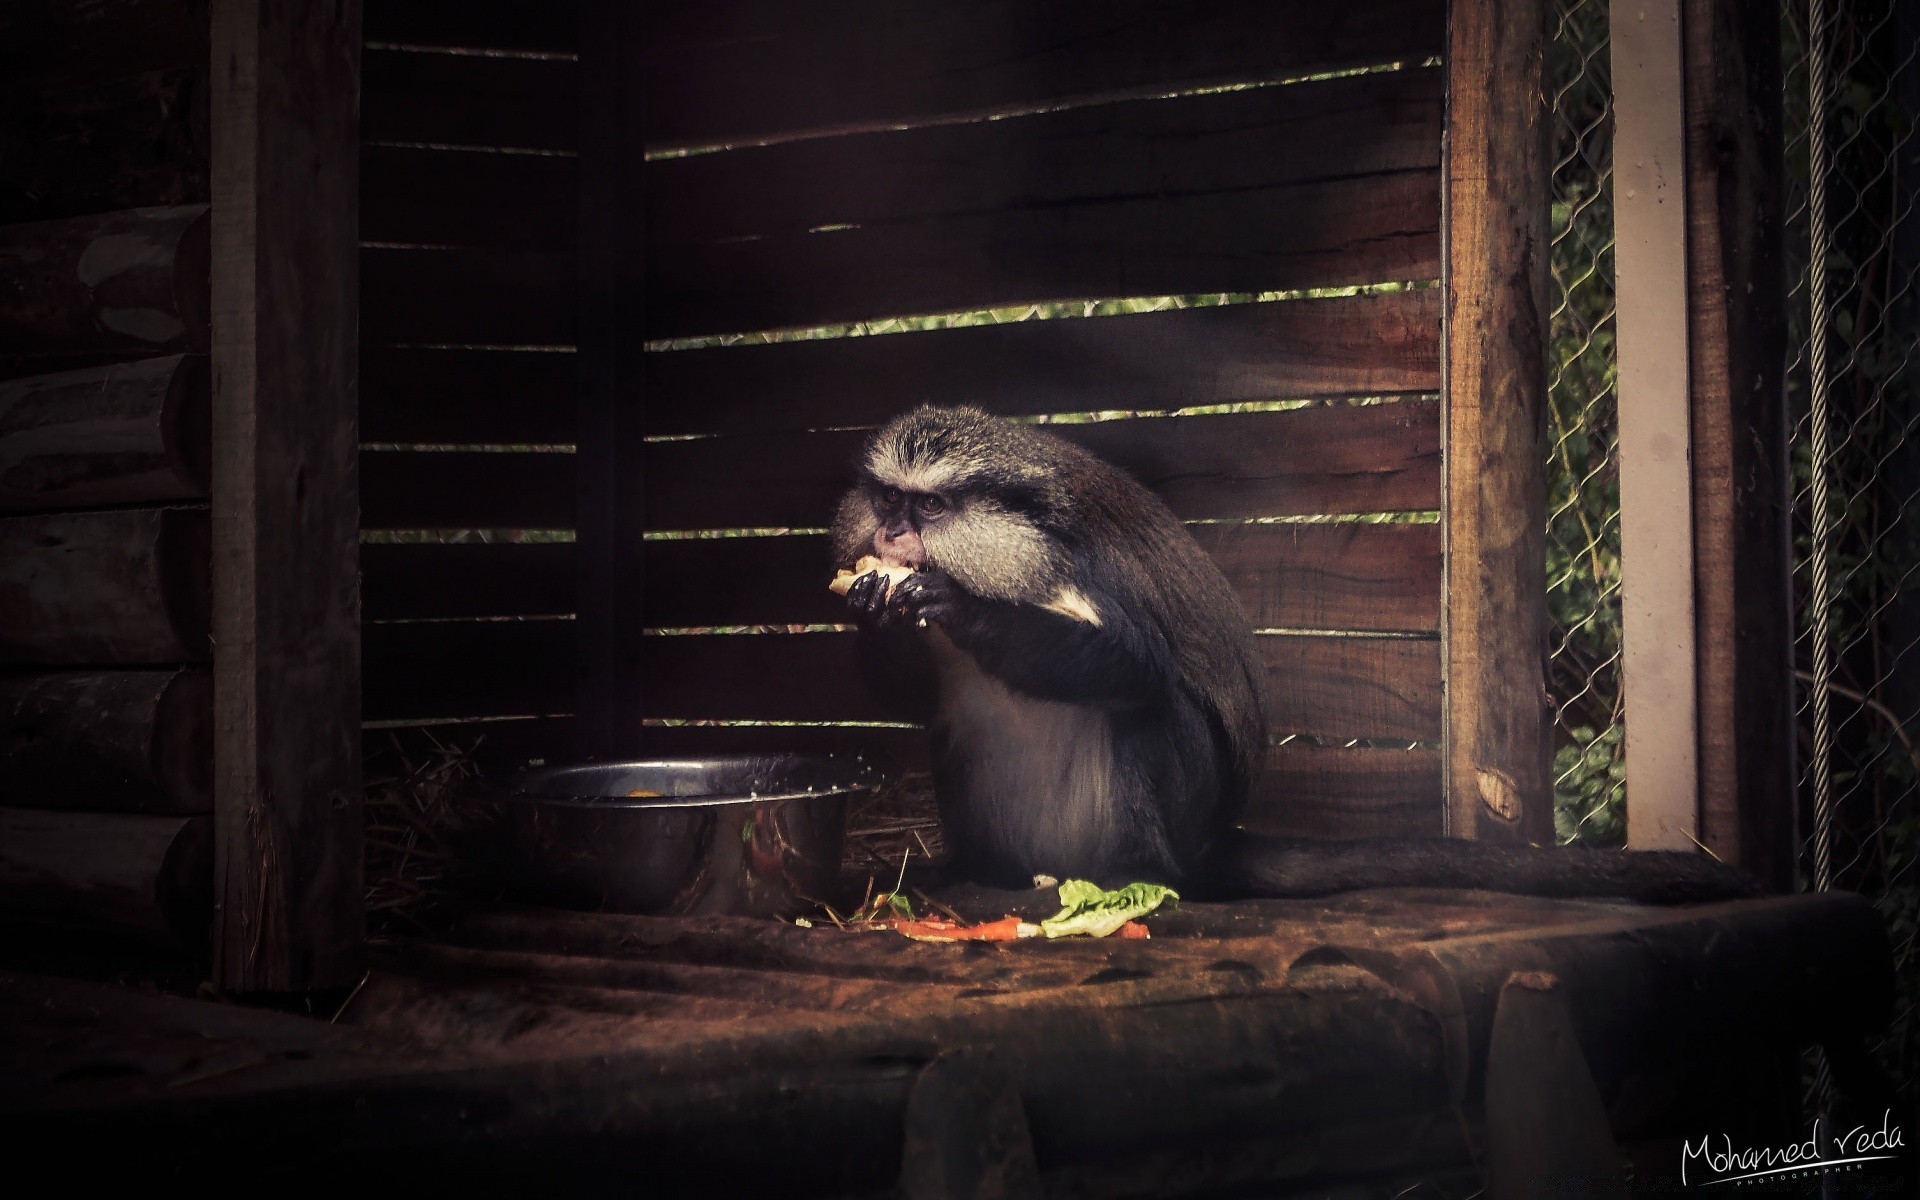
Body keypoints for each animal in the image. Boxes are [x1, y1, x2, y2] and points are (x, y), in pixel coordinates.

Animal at [825, 403, 1758, 898]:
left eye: (931, 507)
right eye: (886, 498)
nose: (893, 533)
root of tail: (1209, 846)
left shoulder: (1074, 572)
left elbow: (1133, 666)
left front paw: (953, 602)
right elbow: (906, 697)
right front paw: (872, 609)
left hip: (1169, 819)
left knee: (1151, 713)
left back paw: (1141, 882)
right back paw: (968, 873)